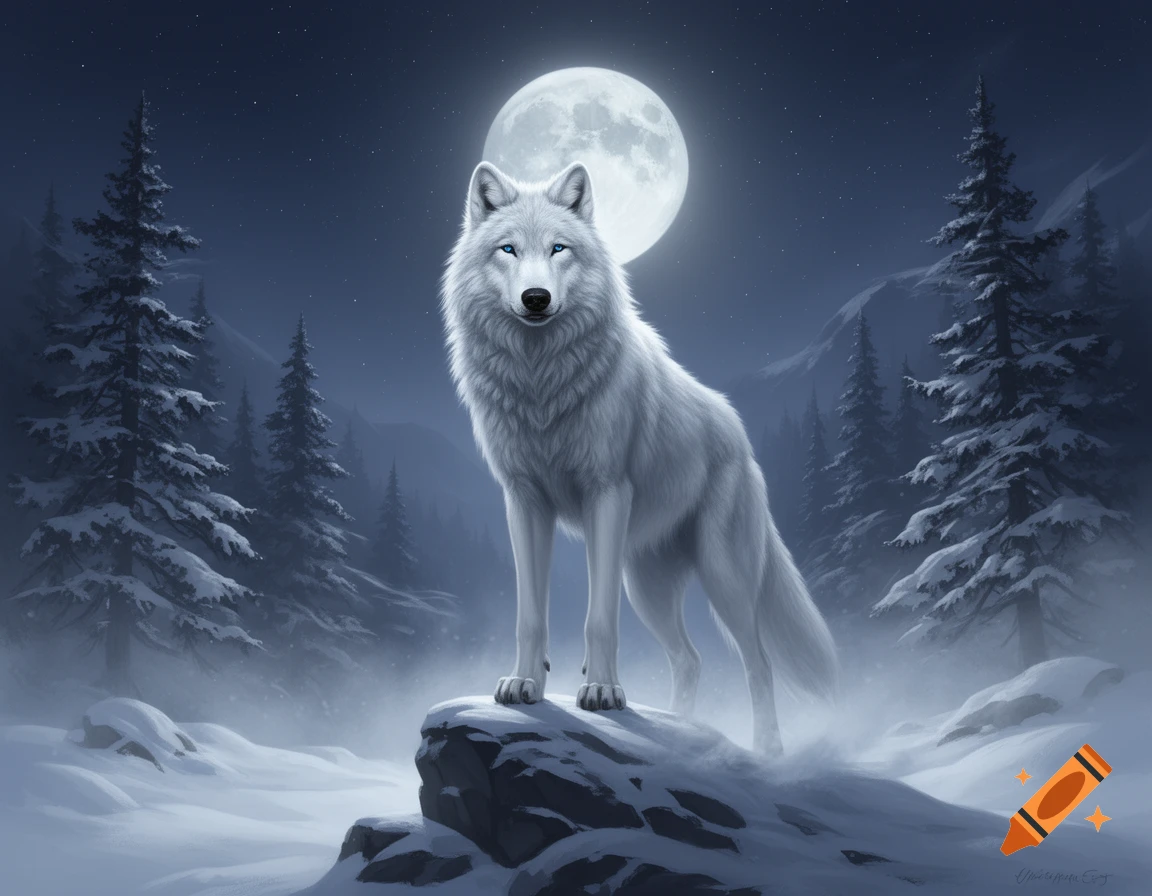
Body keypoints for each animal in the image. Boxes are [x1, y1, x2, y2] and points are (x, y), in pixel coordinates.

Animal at [439, 160, 838, 753]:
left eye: (559, 249)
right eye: (508, 249)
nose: (536, 298)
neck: (541, 382)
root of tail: (741, 438)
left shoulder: (606, 494)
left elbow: (598, 619)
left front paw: (603, 693)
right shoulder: (524, 501)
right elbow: (530, 614)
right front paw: (524, 684)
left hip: (721, 577)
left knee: (758, 661)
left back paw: (767, 748)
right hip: (647, 587)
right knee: (691, 660)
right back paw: (682, 729)